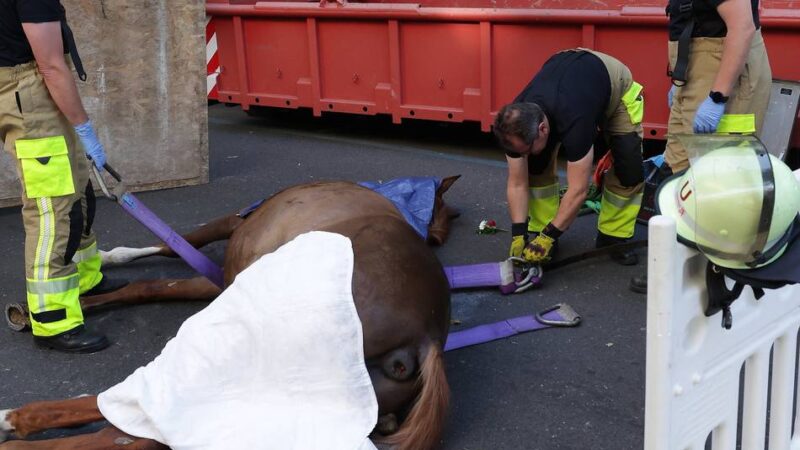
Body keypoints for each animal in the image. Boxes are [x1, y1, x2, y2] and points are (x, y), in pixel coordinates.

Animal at [0, 176, 460, 450]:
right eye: (440, 231)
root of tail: (422, 339)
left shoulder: (229, 230)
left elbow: (174, 244)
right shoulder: (222, 278)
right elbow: (151, 284)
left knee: (131, 422)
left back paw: (16, 423)